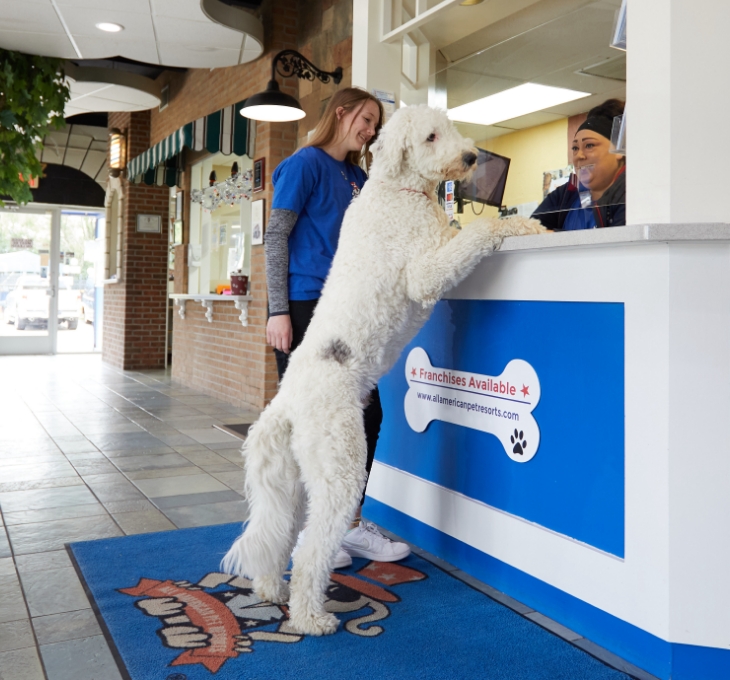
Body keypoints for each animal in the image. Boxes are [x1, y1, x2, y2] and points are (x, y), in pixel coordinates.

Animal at [225, 103, 544, 636]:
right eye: (432, 135)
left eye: (450, 128)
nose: (471, 157)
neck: (400, 190)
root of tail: (285, 404)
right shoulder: (426, 272)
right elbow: (476, 233)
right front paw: (525, 228)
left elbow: (466, 230)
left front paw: (541, 228)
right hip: (340, 464)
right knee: (311, 550)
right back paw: (311, 617)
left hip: (292, 482)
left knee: (279, 533)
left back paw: (271, 589)